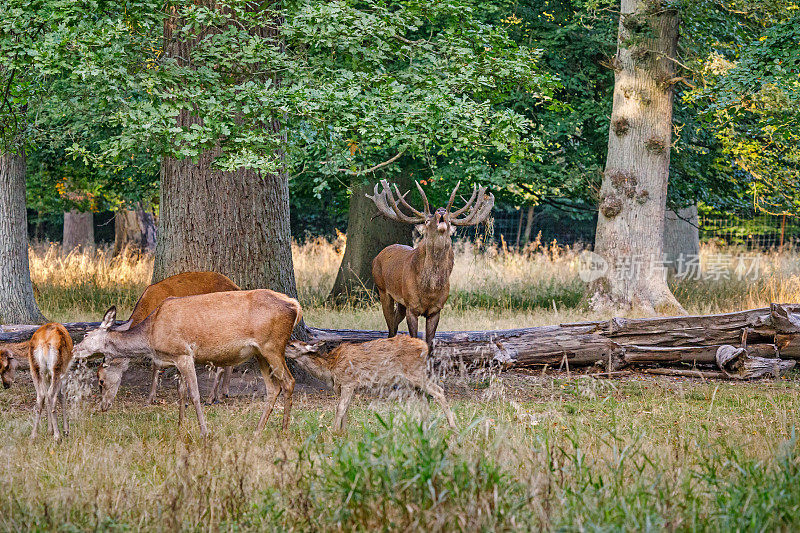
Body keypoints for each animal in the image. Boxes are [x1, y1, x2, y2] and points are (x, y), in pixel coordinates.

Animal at [74, 288, 300, 434]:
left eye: (100, 380)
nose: (103, 407)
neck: (151, 335)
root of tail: (295, 306)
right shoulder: (175, 357)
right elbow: (181, 393)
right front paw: (180, 429)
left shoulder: (184, 353)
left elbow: (194, 395)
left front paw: (204, 432)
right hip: (260, 352)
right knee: (273, 387)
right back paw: (257, 431)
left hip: (272, 345)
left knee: (289, 381)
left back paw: (284, 431)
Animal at [106, 272, 239, 406]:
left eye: (110, 361)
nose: (103, 383)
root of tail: (236, 287)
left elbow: (158, 365)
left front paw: (151, 399)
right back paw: (222, 394)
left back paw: (211, 398)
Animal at [286, 336, 456, 432]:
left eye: (293, 345)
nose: (282, 346)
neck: (330, 368)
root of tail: (425, 347)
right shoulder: (347, 387)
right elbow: (345, 409)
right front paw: (343, 433)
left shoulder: (348, 381)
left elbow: (340, 408)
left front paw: (333, 432)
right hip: (413, 381)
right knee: (425, 398)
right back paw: (423, 427)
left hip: (415, 372)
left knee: (438, 391)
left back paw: (452, 427)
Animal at [368, 179, 494, 350]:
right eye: (427, 221)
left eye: (449, 220)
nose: (441, 211)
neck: (430, 289)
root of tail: (378, 256)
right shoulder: (412, 307)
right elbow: (415, 339)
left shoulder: (436, 309)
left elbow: (429, 343)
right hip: (383, 290)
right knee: (390, 327)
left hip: (401, 303)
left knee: (393, 324)